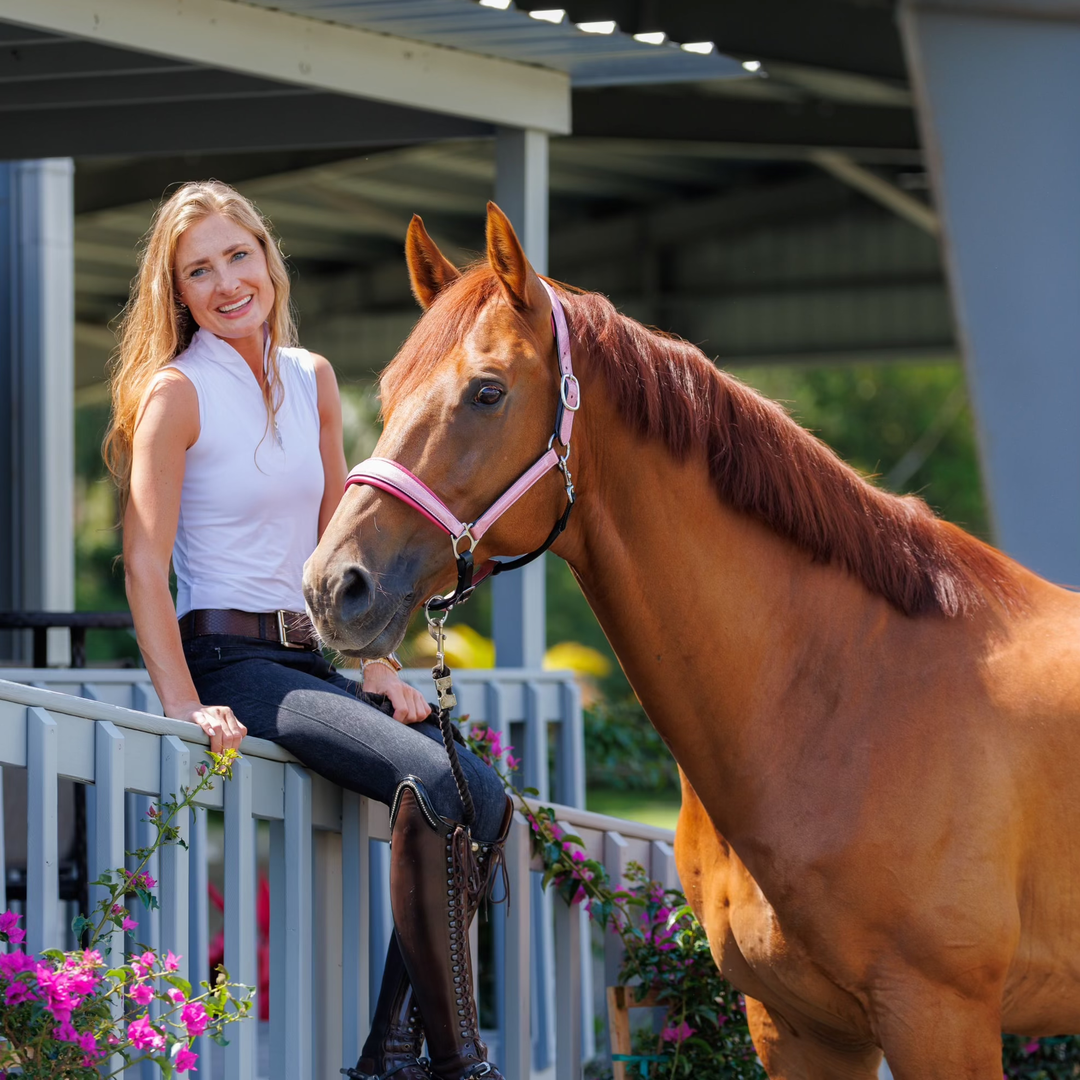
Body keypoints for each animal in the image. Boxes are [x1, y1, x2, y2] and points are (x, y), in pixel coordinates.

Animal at [303, 201, 1080, 1079]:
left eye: (487, 392)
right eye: (387, 391)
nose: (334, 585)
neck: (855, 698)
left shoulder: (941, 1018)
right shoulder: (797, 1026)